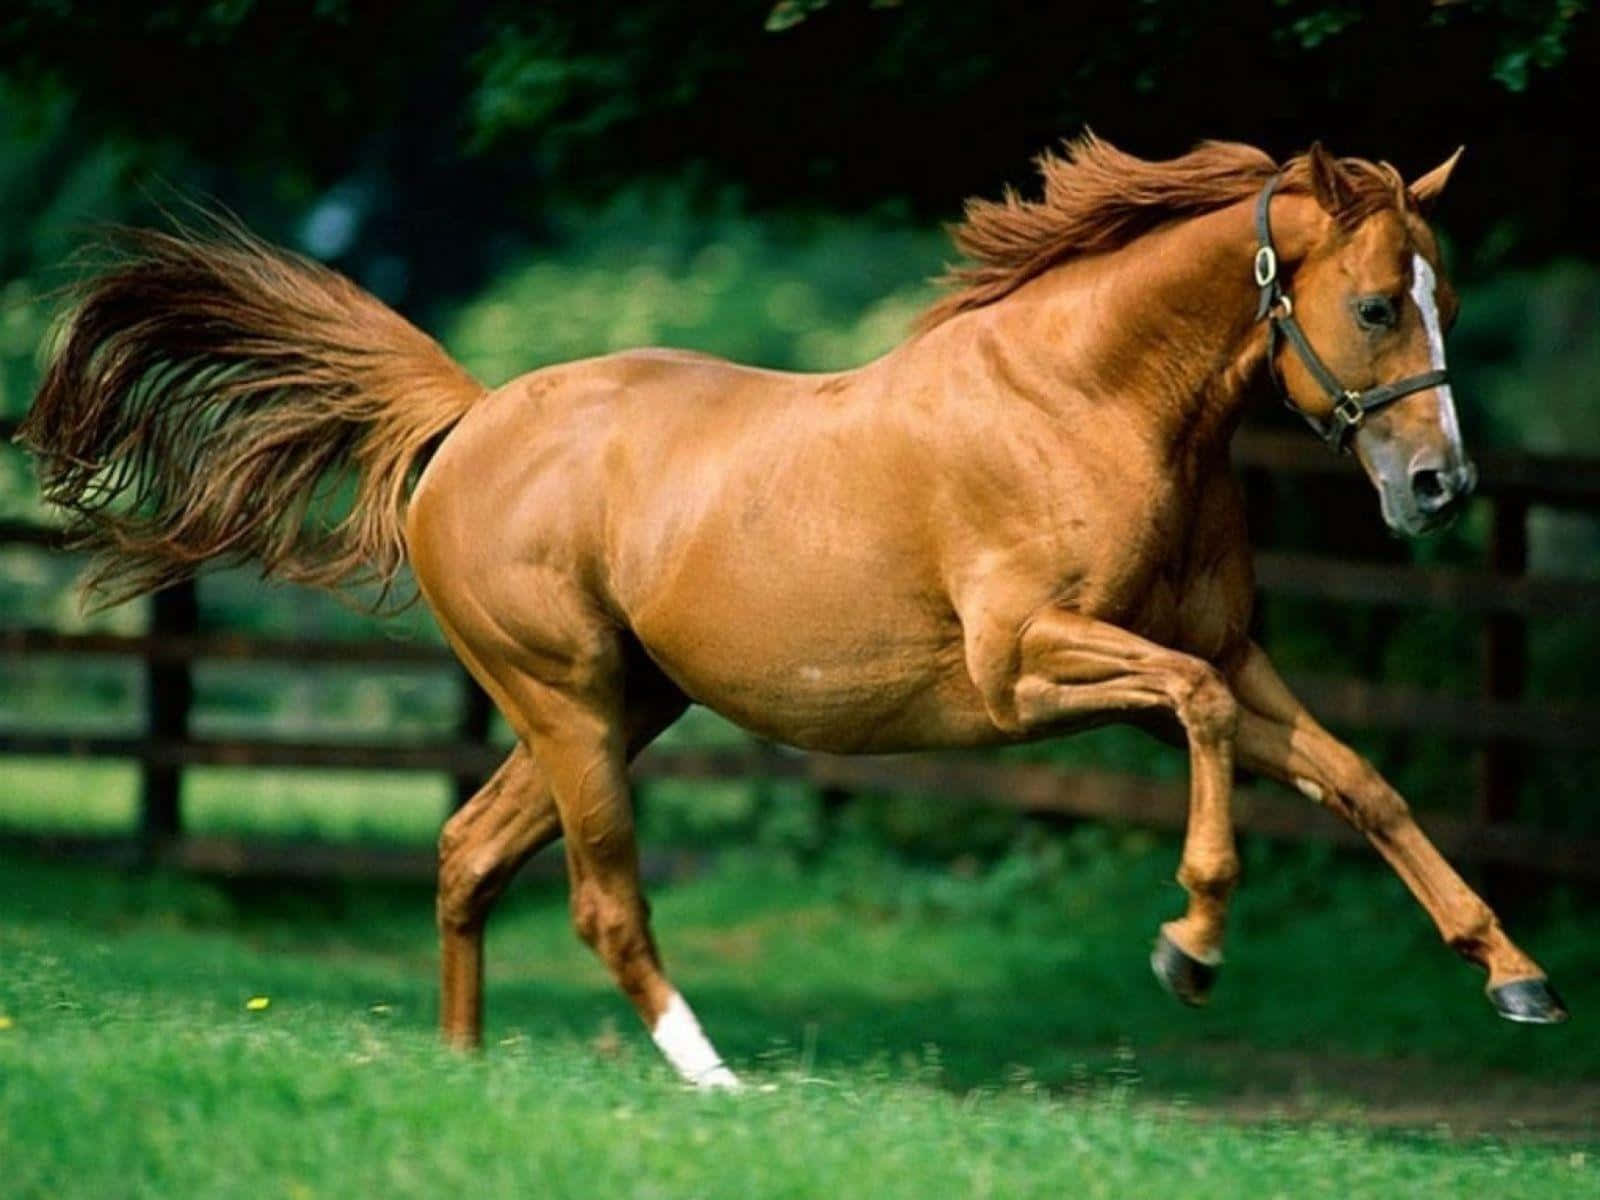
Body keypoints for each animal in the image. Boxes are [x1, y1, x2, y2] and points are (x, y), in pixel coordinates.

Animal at [19, 135, 1568, 1091]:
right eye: (1375, 307)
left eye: (1443, 292)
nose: (1439, 487)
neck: (1085, 402)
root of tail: (468, 420)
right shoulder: (1030, 672)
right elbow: (1197, 727)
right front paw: (1188, 948)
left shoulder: (1230, 654)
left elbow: (1362, 783)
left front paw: (1516, 979)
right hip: (568, 702)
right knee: (601, 901)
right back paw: (716, 1082)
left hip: (622, 703)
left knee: (467, 857)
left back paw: (463, 1077)